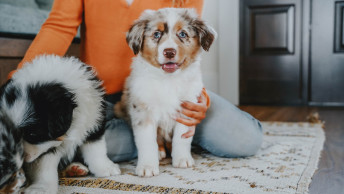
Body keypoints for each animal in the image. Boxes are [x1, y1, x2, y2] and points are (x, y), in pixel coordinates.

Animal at [0, 55, 121, 193]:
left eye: (32, 135)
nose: (21, 161)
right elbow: (44, 168)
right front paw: (41, 188)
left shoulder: (94, 119)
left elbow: (96, 147)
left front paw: (106, 168)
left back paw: (75, 168)